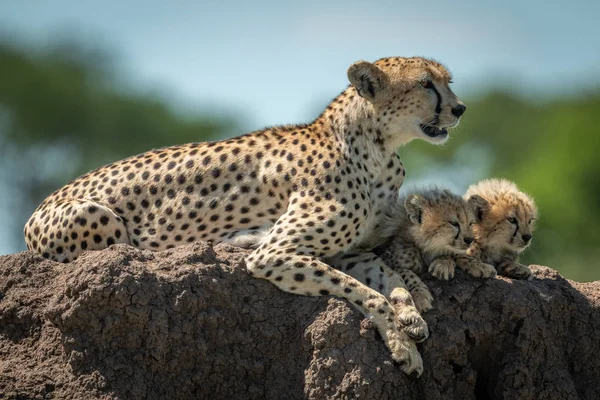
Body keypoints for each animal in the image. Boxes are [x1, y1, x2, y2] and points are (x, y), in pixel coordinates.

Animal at [24, 56, 468, 376]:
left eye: (448, 81)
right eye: (426, 84)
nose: (461, 108)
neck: (377, 146)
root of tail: (38, 209)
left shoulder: (349, 252)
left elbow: (388, 278)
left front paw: (411, 315)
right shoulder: (275, 253)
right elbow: (367, 293)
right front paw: (401, 342)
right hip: (99, 216)